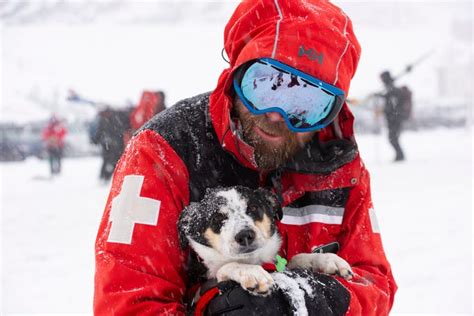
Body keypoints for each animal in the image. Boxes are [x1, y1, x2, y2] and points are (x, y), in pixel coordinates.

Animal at [178, 188, 352, 302]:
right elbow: (227, 266)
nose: (245, 235)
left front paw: (326, 259)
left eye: (253, 208)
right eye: (216, 218)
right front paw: (251, 272)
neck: (253, 259)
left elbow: (296, 258)